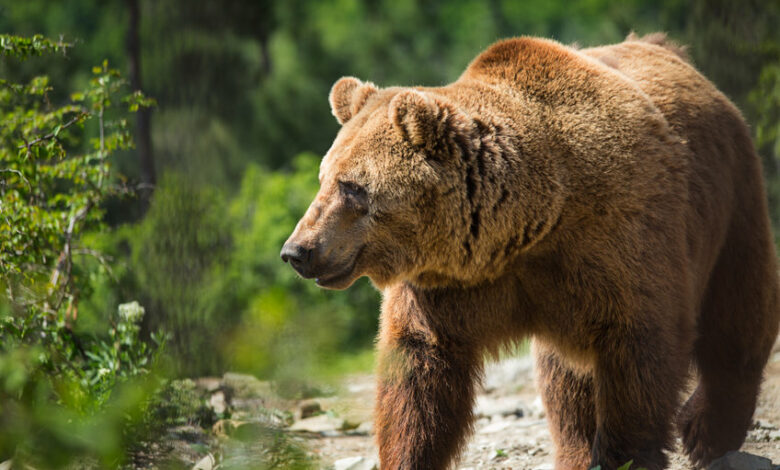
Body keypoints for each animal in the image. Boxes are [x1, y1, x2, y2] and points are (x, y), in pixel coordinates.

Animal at [280, 34, 780, 470]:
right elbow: (420, 375)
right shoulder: (450, 286)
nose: (297, 250)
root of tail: (671, 51)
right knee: (566, 384)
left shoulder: (619, 243)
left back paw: (706, 430)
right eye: (325, 178)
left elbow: (640, 353)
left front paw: (625, 454)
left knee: (736, 315)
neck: (528, 227)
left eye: (353, 187)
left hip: (730, 200)